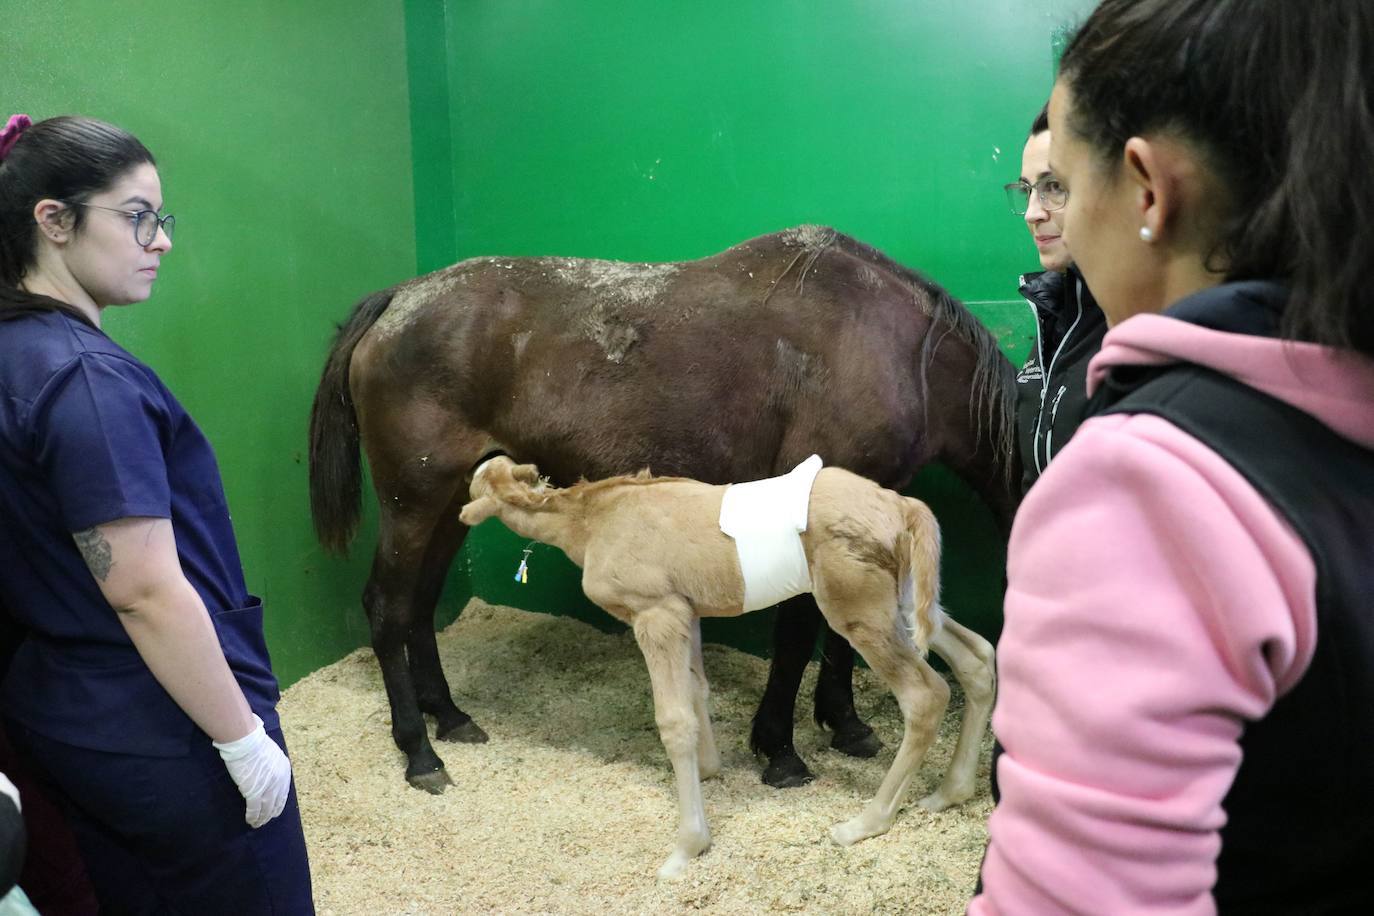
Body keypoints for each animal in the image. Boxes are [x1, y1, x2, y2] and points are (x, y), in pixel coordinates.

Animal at [311, 227, 1022, 796]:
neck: (895, 346)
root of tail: (399, 298)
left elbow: (838, 635)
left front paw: (845, 724)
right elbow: (797, 633)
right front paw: (781, 749)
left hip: (449, 504)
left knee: (420, 605)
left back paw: (450, 717)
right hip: (413, 502)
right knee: (389, 607)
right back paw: (419, 751)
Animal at [461, 458, 1000, 878]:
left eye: (472, 488)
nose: (464, 514)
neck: (595, 520)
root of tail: (903, 506)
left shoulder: (656, 613)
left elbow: (673, 719)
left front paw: (687, 846)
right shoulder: (688, 612)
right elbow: (697, 689)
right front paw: (709, 769)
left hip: (862, 613)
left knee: (926, 695)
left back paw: (865, 823)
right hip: (906, 605)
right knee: (978, 658)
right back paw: (949, 792)